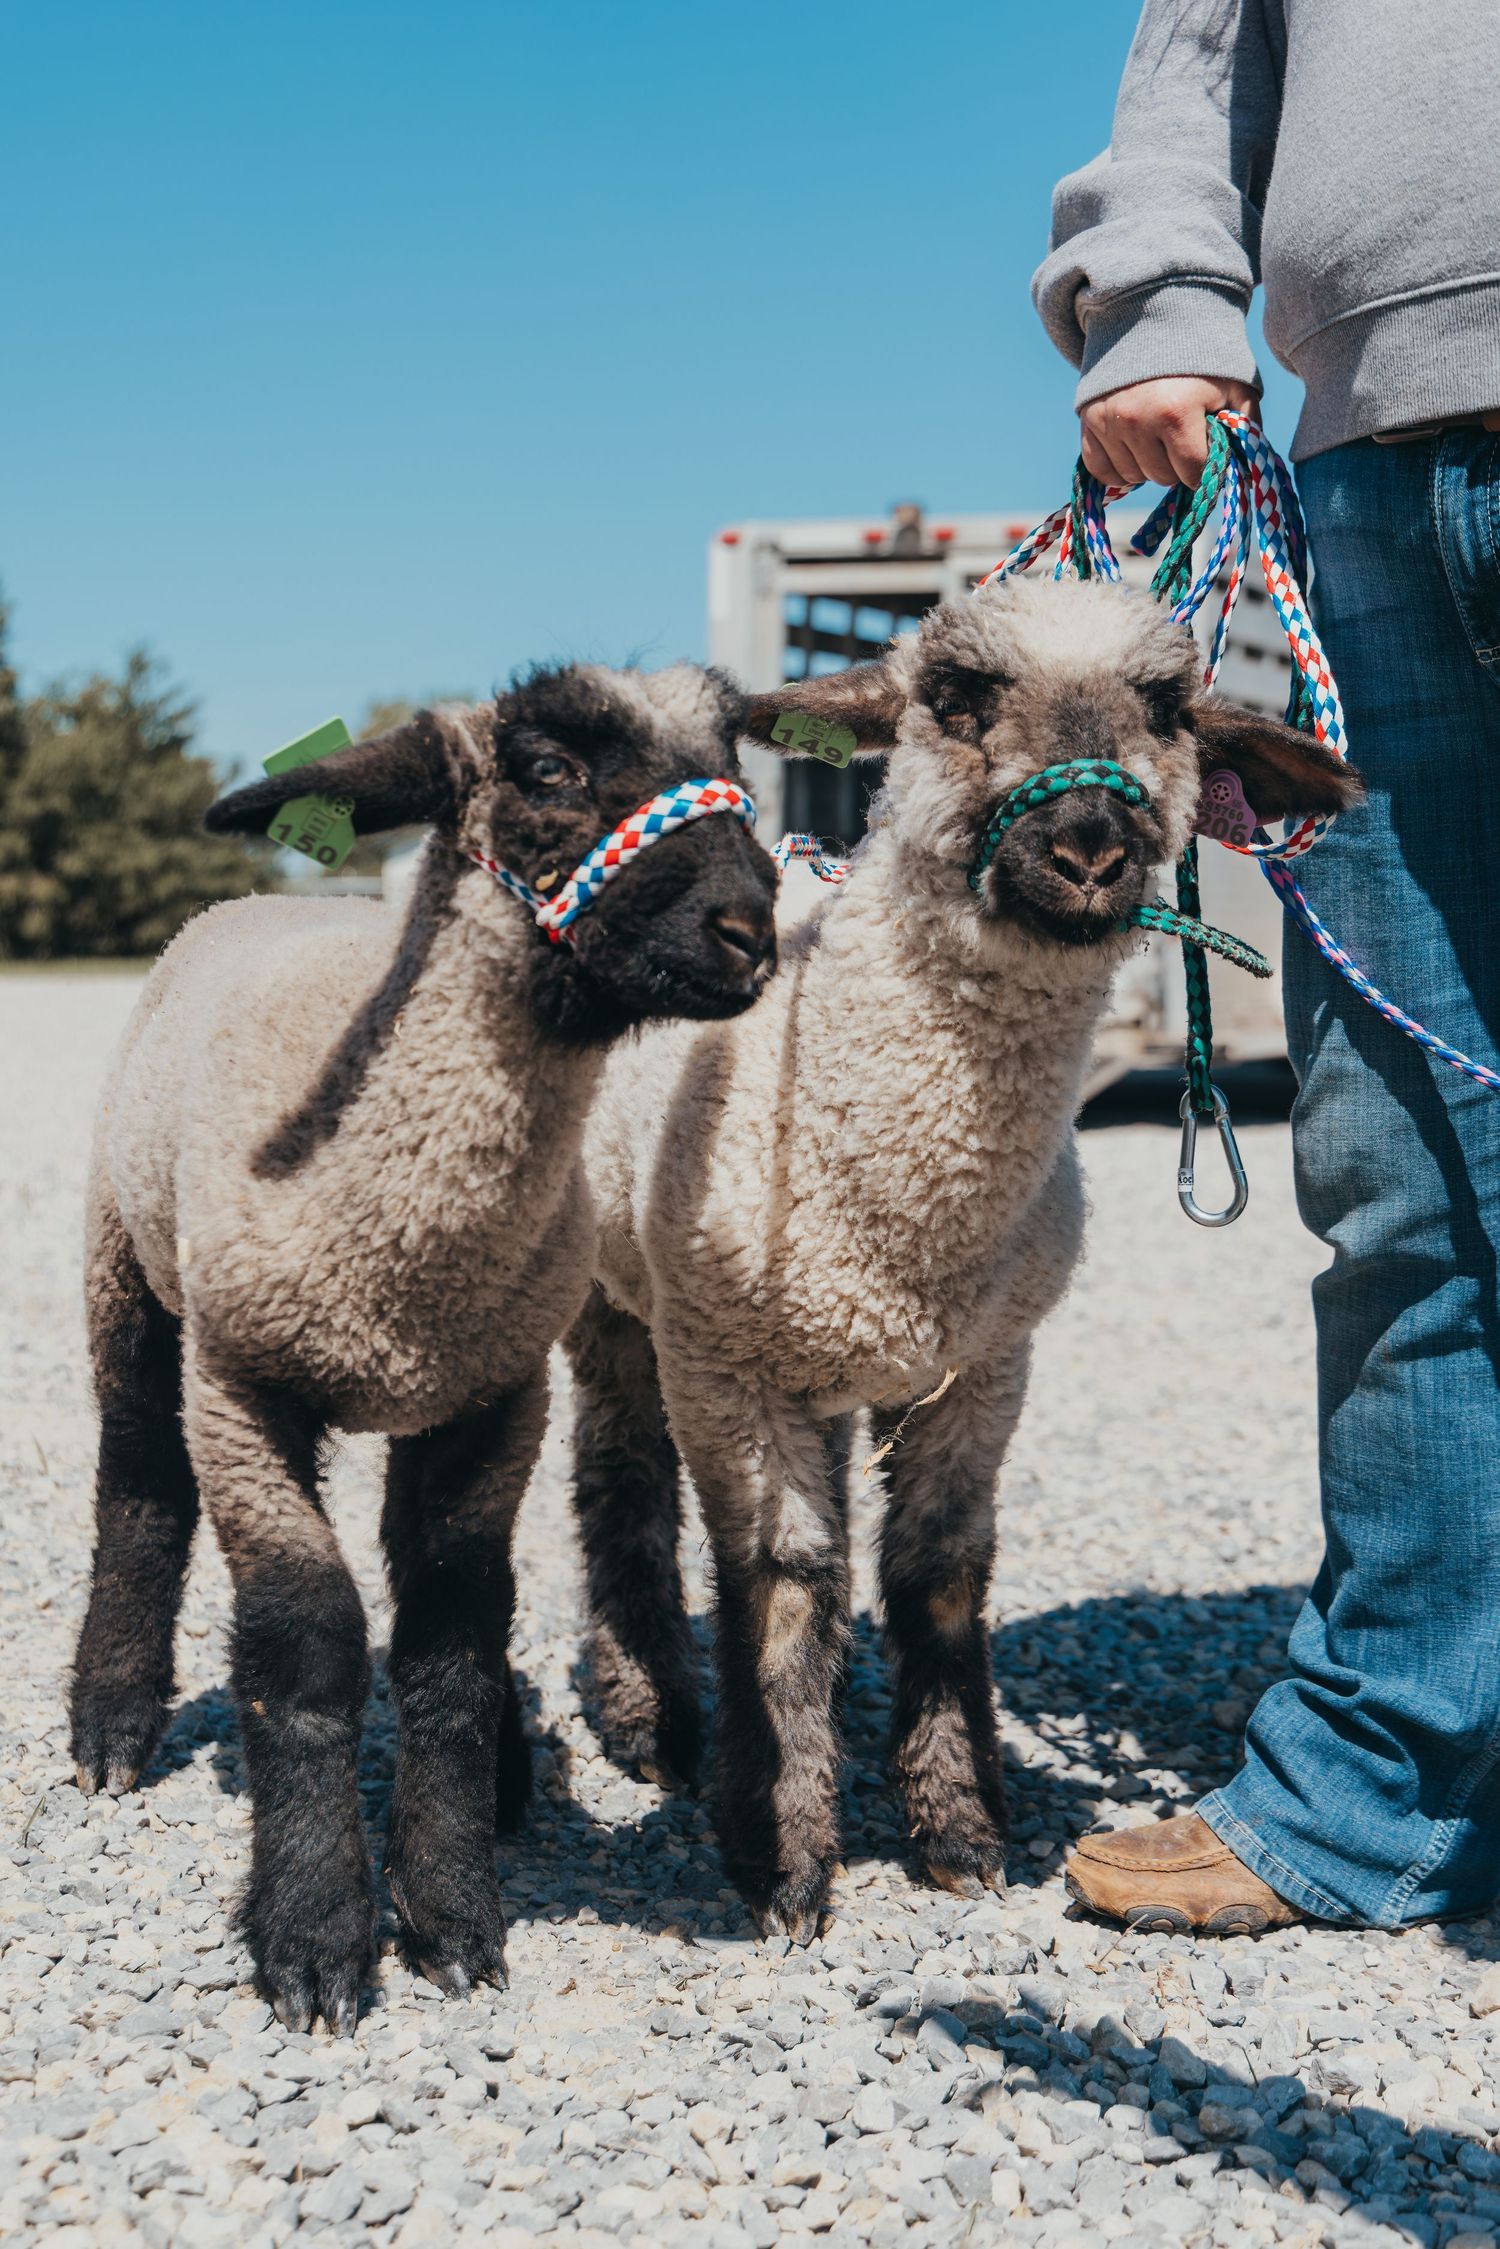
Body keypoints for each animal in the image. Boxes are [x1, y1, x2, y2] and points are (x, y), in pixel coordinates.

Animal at [68, 661, 779, 2030]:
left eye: (735, 765)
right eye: (548, 768)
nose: (749, 932)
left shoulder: (495, 1394)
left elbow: (451, 1635)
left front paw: (449, 1910)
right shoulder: (242, 1383)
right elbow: (306, 1641)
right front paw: (314, 1936)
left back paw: (499, 1775)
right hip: (126, 1265)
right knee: (136, 1481)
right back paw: (111, 1727)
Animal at [565, 576, 1363, 1938]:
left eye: (1167, 705)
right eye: (956, 696)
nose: (1091, 844)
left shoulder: (987, 1363)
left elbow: (938, 1574)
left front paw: (957, 1827)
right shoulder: (727, 1361)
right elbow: (778, 1586)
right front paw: (782, 1853)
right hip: (614, 1294)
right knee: (619, 1481)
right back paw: (651, 1721)